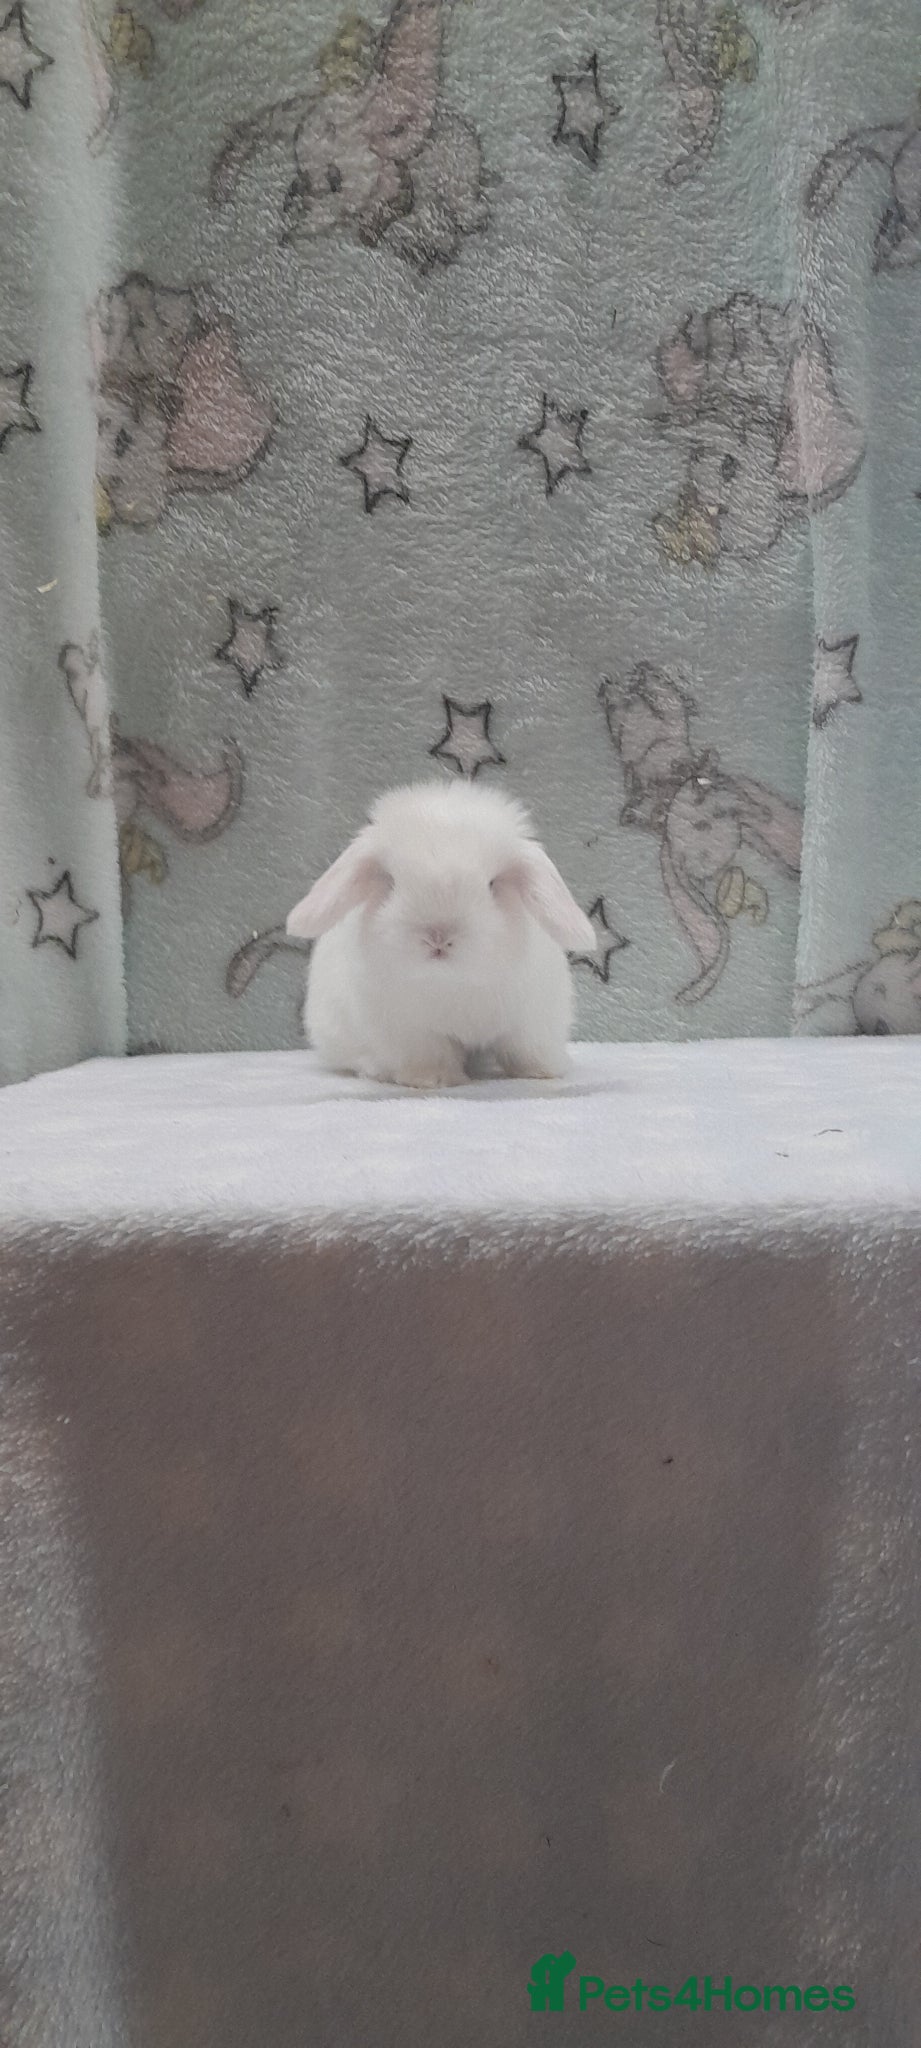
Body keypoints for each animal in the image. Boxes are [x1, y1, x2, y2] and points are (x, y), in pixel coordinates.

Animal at [285, 779, 597, 1087]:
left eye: (491, 884)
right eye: (392, 882)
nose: (437, 936)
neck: (453, 981)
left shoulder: (533, 1020)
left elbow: (527, 1050)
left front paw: (542, 1072)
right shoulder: (411, 1031)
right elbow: (430, 1054)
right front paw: (433, 1080)